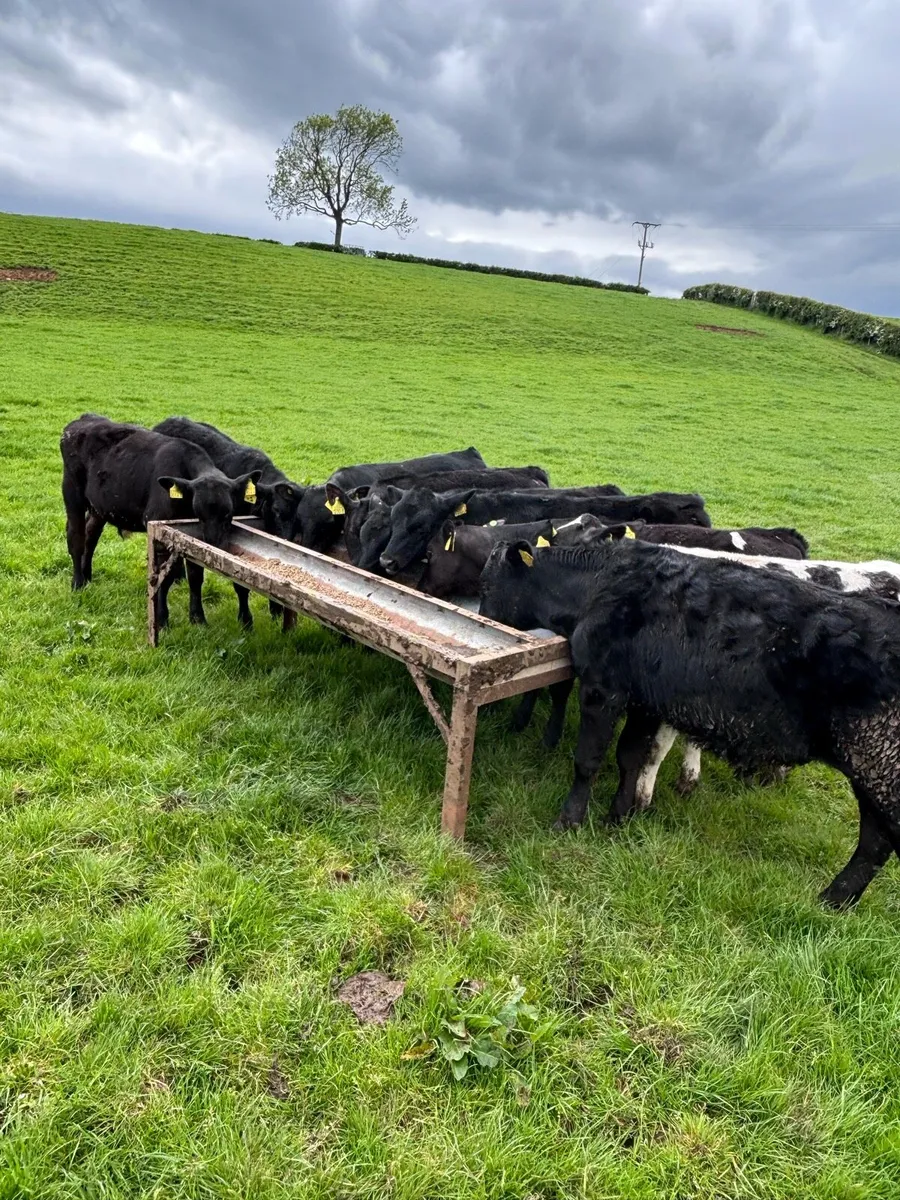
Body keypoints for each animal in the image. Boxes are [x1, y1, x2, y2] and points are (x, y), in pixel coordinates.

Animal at [61, 414, 261, 629]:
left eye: (228, 513)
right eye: (199, 513)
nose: (214, 543)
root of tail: (83, 419)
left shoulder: (192, 539)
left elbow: (195, 576)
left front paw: (198, 618)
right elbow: (164, 578)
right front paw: (162, 618)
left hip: (99, 506)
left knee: (91, 536)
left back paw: (87, 575)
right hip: (72, 494)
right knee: (76, 538)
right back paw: (78, 583)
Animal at [153, 416, 305, 629]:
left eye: (299, 519)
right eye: (276, 510)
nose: (286, 539)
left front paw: (276, 610)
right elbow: (240, 585)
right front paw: (246, 620)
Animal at [479, 536, 900, 907]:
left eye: (487, 582)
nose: (480, 619)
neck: (599, 584)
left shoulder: (603, 688)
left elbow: (589, 760)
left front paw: (569, 821)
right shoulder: (644, 702)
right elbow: (632, 757)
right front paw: (618, 817)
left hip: (878, 767)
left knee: (878, 839)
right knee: (875, 842)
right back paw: (834, 900)